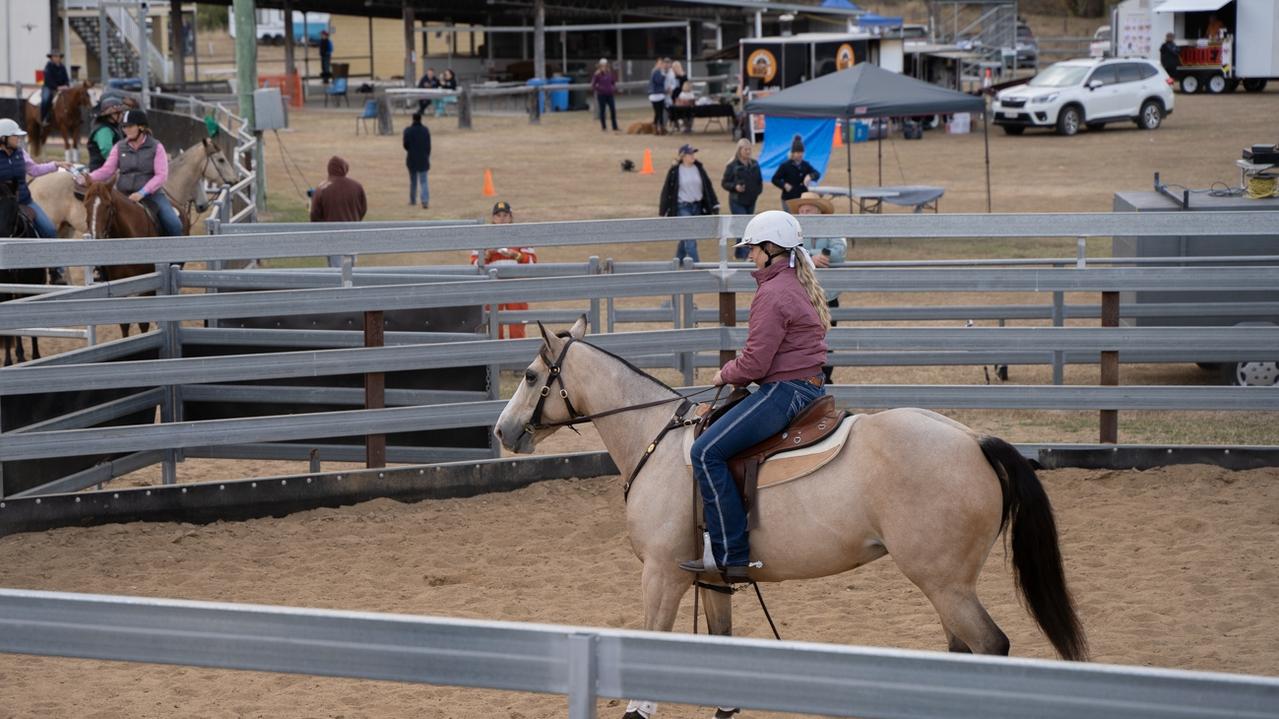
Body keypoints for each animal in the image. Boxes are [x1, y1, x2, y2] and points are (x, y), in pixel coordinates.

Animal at [496, 316, 1089, 716]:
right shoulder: (712, 579)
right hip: (948, 587)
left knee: (990, 647)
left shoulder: (662, 576)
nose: (503, 431)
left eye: (529, 375)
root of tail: (974, 440)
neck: (657, 441)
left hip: (945, 584)